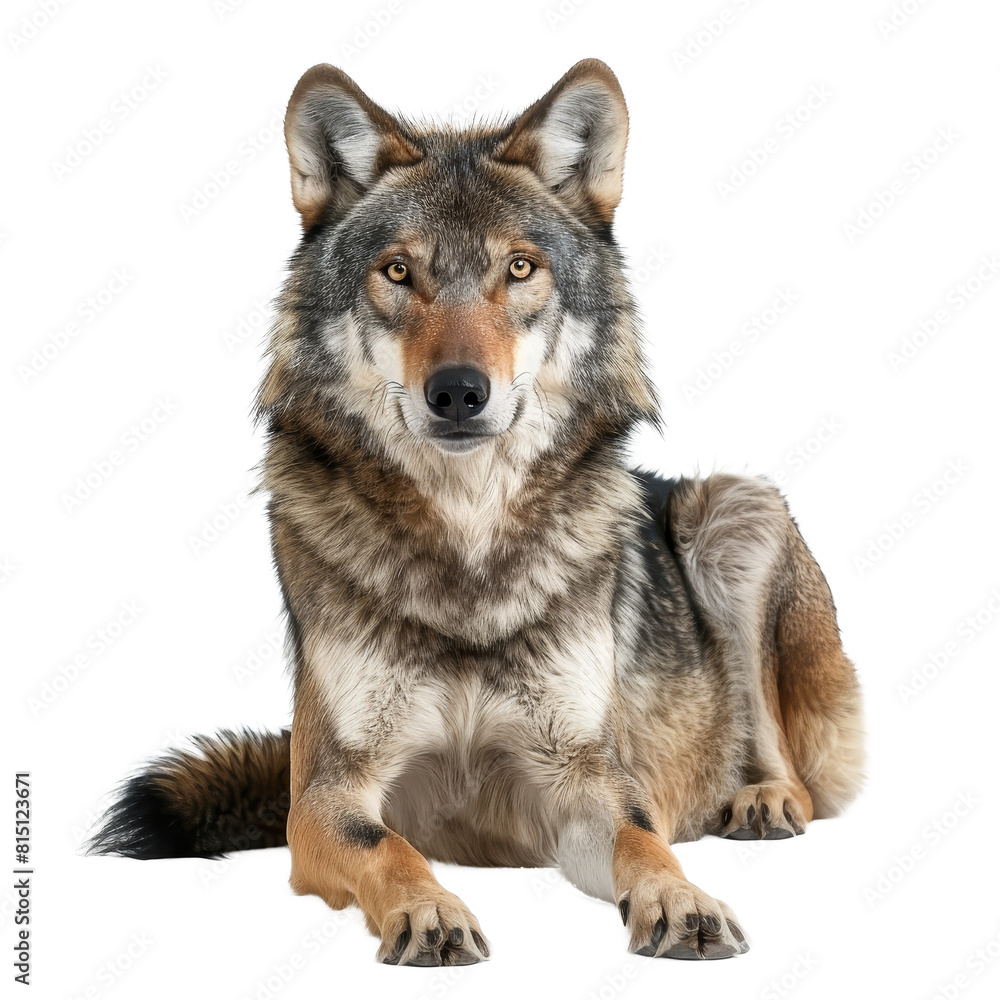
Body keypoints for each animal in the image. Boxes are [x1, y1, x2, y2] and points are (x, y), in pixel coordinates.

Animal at [89, 59, 864, 966]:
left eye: (520, 269)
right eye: (398, 272)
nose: (458, 391)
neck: (468, 545)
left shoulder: (582, 778)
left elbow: (645, 839)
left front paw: (682, 899)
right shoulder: (324, 793)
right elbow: (388, 847)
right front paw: (429, 911)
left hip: (737, 512)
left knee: (799, 773)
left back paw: (761, 802)